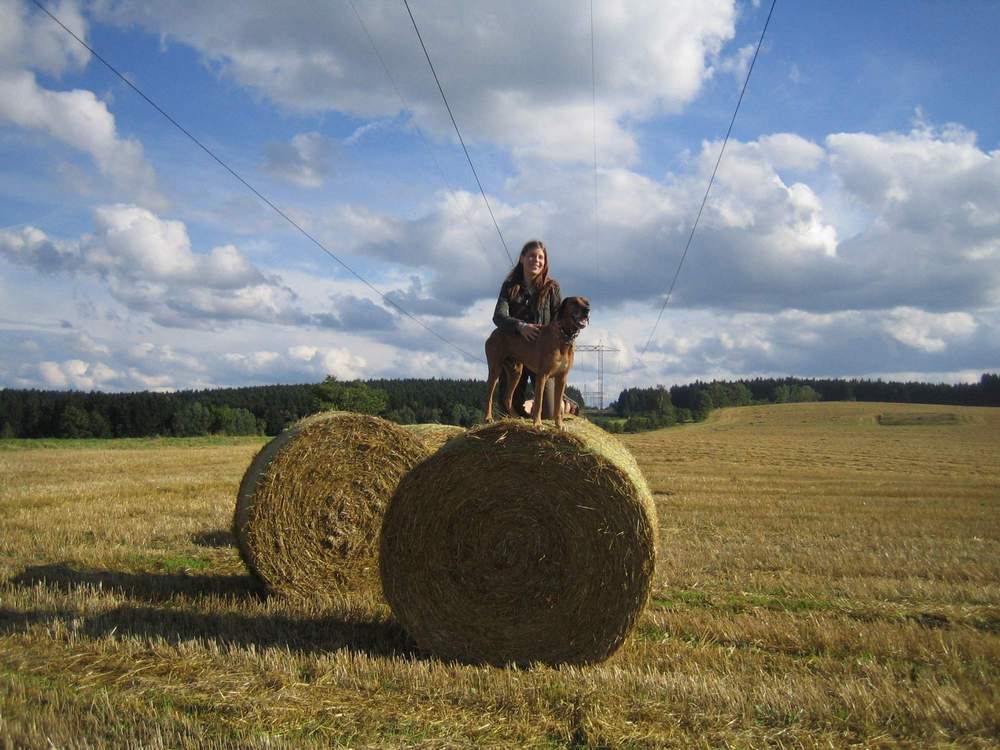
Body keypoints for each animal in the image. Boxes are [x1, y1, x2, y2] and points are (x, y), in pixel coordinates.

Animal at [482, 296, 584, 432]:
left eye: (586, 302)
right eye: (574, 303)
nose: (587, 311)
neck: (563, 337)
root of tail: (494, 332)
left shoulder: (561, 378)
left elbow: (557, 406)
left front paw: (559, 425)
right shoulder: (542, 375)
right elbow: (539, 403)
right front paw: (537, 424)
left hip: (516, 371)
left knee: (507, 398)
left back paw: (515, 417)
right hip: (495, 369)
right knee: (489, 396)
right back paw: (488, 418)